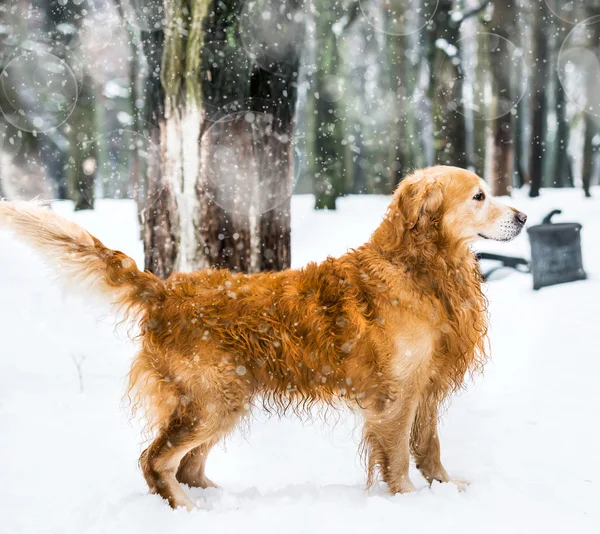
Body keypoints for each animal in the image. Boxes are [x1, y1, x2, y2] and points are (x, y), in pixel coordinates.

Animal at [0, 166, 524, 510]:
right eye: (479, 196)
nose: (521, 216)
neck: (419, 267)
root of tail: (165, 289)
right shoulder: (393, 394)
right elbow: (395, 457)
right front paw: (408, 503)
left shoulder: (425, 386)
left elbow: (429, 447)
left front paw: (445, 490)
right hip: (212, 400)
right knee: (156, 461)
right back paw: (186, 510)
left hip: (222, 399)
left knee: (188, 467)